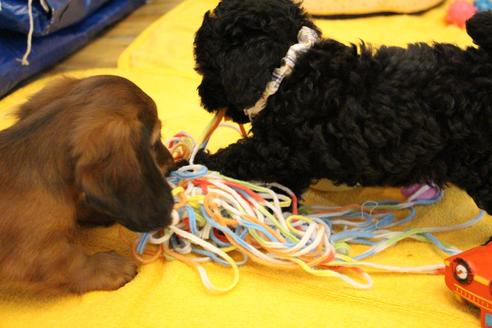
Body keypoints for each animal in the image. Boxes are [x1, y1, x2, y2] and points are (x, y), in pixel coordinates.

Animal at [193, 0, 492, 213]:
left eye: (207, 67)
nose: (202, 98)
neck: (289, 72)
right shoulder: (293, 159)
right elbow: (285, 186)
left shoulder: (275, 148)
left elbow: (235, 156)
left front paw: (195, 161)